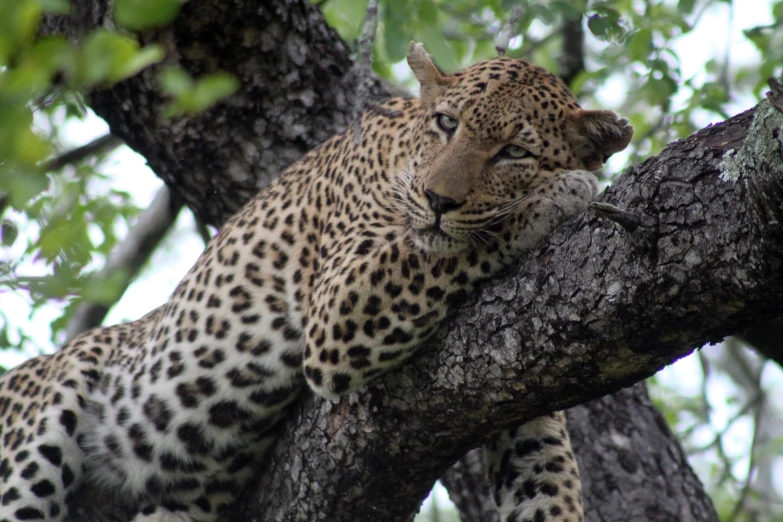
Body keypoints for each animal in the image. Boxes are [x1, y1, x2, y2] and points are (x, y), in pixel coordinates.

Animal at [0, 41, 632, 520]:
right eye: (447, 124)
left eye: (515, 152)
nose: (437, 200)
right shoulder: (339, 311)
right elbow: (457, 245)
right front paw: (563, 192)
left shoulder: (520, 396)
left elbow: (547, 483)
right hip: (35, 446)